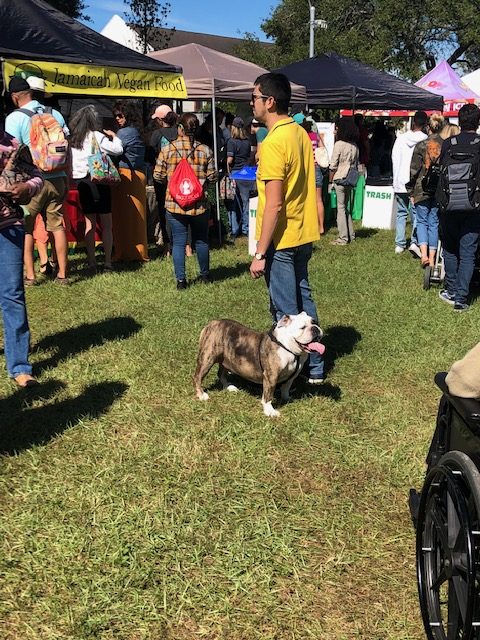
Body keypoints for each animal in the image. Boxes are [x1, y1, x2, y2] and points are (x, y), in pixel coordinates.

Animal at [193, 312, 324, 418]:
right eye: (302, 327)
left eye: (314, 322)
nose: (315, 328)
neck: (288, 347)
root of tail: (212, 323)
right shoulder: (271, 377)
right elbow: (268, 396)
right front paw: (269, 411)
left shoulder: (292, 375)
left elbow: (286, 387)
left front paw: (286, 398)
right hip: (207, 358)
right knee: (197, 377)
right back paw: (201, 395)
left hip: (227, 359)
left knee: (221, 373)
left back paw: (229, 387)